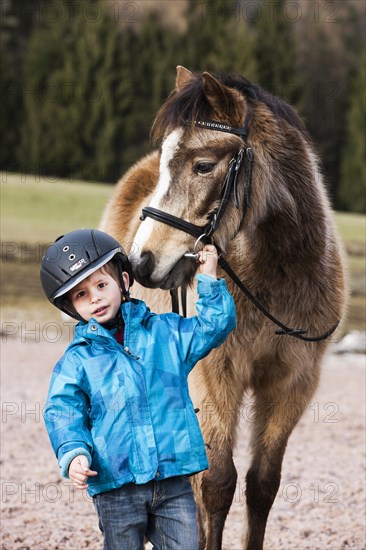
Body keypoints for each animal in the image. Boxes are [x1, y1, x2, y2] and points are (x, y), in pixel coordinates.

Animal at [100, 67, 346, 548]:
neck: (276, 275)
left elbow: (262, 484)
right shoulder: (218, 377)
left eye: (203, 165)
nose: (141, 263)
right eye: (166, 162)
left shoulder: (292, 385)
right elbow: (216, 483)